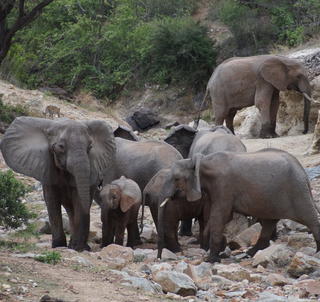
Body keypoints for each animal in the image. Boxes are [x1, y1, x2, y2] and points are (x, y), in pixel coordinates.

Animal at [0, 117, 115, 251]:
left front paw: (78, 248)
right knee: (70, 209)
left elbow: (78, 199)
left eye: (90, 146)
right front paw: (59, 246)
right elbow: (51, 201)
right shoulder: (47, 166)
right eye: (60, 147)